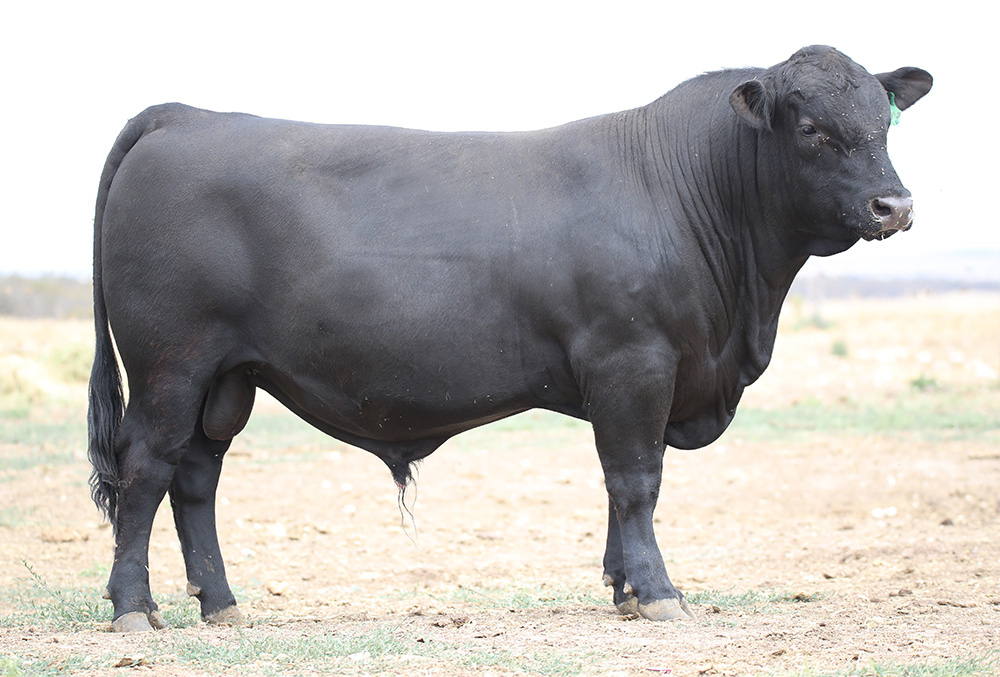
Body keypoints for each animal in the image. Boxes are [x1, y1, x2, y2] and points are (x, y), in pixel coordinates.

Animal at [88, 46, 932, 632]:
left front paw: (624, 587)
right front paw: (660, 592)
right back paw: (133, 606)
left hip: (225, 378)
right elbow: (636, 480)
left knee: (197, 478)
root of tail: (187, 115)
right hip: (170, 365)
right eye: (813, 130)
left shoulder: (638, 379)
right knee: (147, 470)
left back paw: (221, 603)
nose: (895, 205)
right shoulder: (633, 363)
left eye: (883, 123)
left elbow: (621, 485)